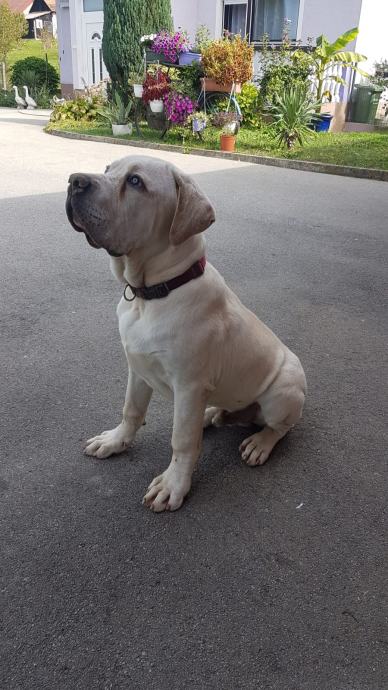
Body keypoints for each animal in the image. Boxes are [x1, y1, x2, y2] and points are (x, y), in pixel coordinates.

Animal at [66, 156, 306, 510]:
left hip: (283, 393)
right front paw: (115, 441)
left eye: (135, 182)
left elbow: (181, 440)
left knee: (280, 428)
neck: (153, 294)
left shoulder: (189, 385)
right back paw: (211, 415)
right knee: (222, 411)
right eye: (108, 169)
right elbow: (131, 409)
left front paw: (173, 485)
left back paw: (259, 443)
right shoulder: (138, 368)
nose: (74, 181)